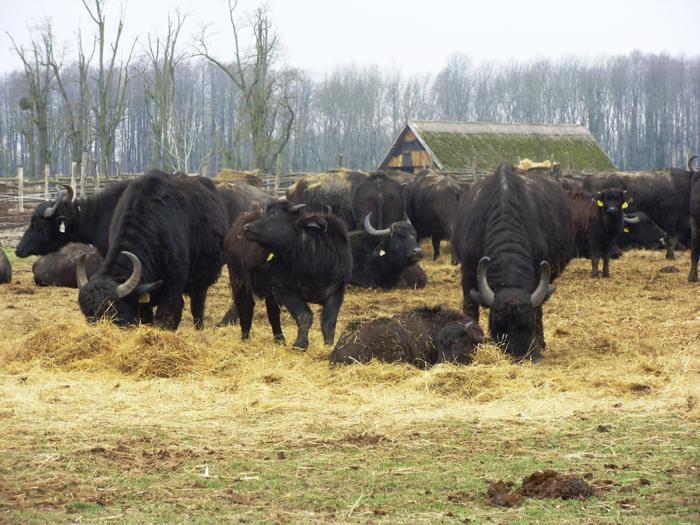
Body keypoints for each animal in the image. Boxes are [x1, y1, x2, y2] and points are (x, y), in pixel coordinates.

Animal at [77, 171, 226, 328]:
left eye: (112, 311)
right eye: (87, 313)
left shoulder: (173, 284)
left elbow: (166, 315)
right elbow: (146, 317)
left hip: (201, 280)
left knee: (197, 306)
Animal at [226, 198, 352, 348]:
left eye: (275, 214)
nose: (247, 227)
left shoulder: (337, 291)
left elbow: (329, 322)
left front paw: (329, 345)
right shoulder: (285, 289)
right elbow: (304, 315)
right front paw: (300, 344)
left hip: (269, 292)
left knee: (272, 313)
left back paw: (279, 340)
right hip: (238, 279)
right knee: (245, 307)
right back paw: (245, 338)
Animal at [454, 164, 576, 360]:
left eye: (528, 324)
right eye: (497, 323)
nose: (518, 355)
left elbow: (538, 310)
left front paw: (538, 343)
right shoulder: (468, 271)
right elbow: (470, 308)